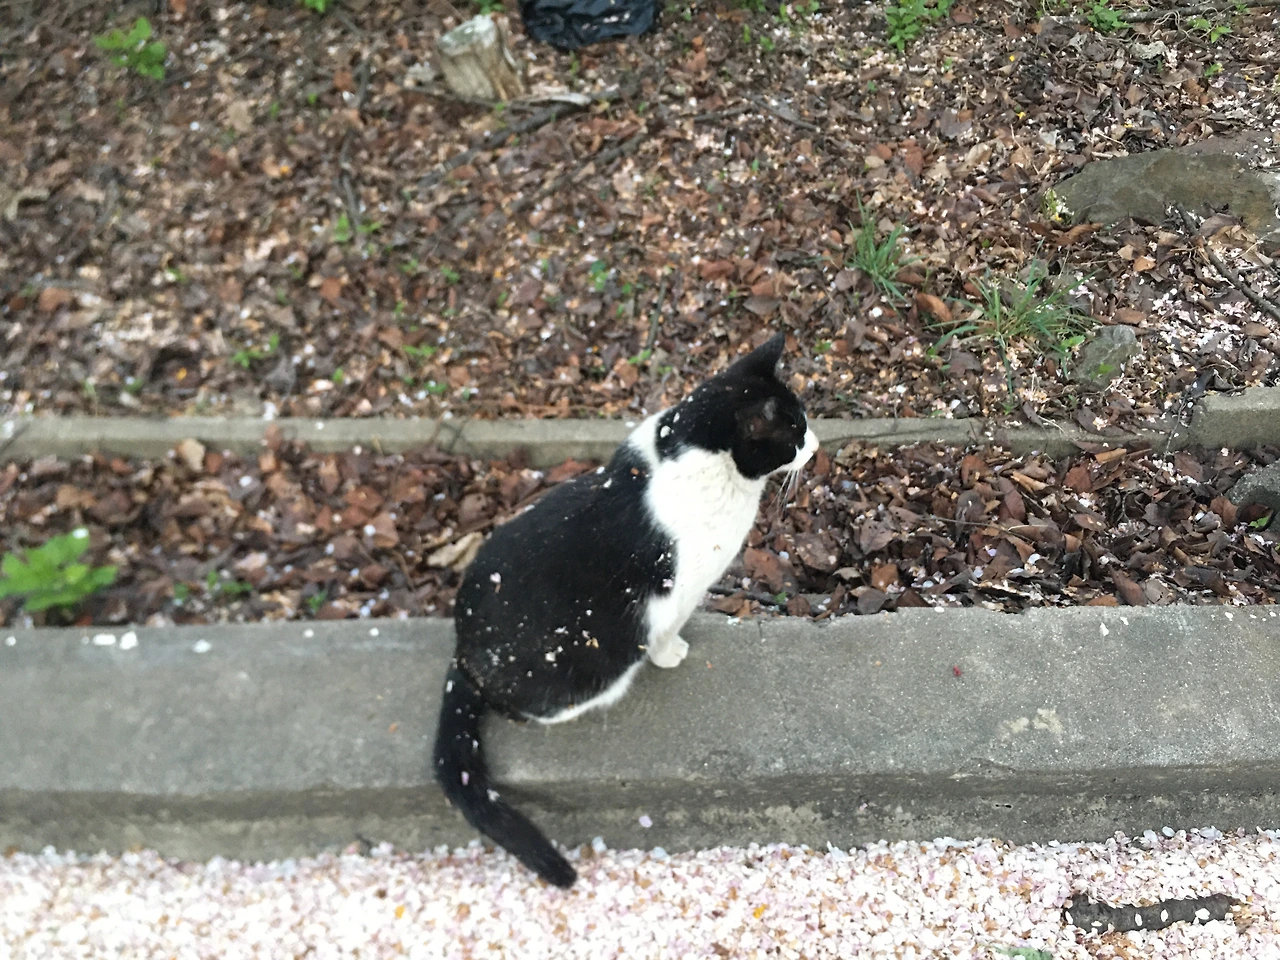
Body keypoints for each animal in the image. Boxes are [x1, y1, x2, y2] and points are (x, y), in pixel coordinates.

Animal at [432, 331, 818, 888]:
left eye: (804, 420)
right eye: (794, 431)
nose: (817, 444)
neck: (685, 455)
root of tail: (463, 654)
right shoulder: (675, 594)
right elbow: (666, 629)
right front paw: (672, 653)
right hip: (587, 666)